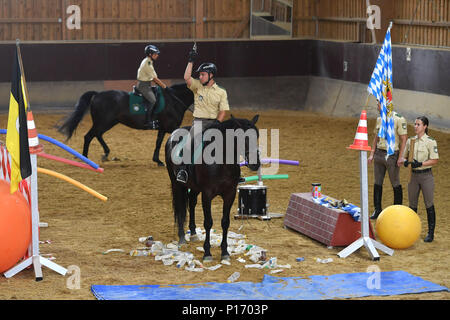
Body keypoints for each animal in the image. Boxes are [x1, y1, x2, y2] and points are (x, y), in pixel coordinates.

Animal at [56, 83, 193, 165]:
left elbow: (158, 143)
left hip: (108, 123)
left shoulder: (163, 129)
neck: (174, 100)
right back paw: (86, 158)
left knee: (97, 135)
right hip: (103, 122)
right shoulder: (172, 127)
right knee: (89, 136)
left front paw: (157, 160)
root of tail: (98, 94)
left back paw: (105, 153)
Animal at [166, 114, 260, 262]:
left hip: (195, 187)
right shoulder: (207, 194)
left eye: (256, 136)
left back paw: (193, 233)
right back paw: (182, 238)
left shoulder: (230, 193)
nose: (256, 164)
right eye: (241, 137)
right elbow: (208, 222)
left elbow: (225, 222)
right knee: (180, 207)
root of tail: (173, 135)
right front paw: (207, 253)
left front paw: (225, 252)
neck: (221, 162)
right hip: (177, 184)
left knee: (191, 203)